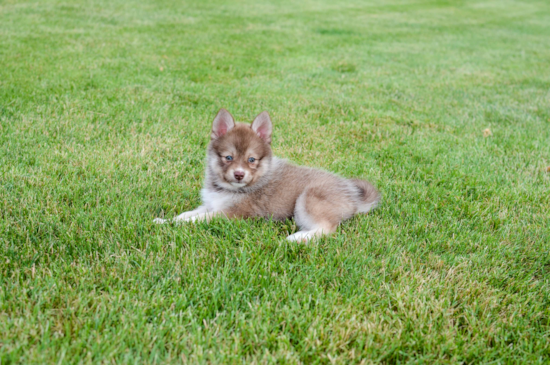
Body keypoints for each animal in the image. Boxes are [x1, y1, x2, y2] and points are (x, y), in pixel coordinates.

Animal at [153, 108, 382, 242]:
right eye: (228, 157)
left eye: (251, 160)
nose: (239, 174)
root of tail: (353, 195)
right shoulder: (210, 204)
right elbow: (186, 214)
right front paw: (164, 220)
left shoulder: (231, 214)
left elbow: (195, 220)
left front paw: (171, 224)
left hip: (307, 200)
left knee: (327, 228)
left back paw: (297, 238)